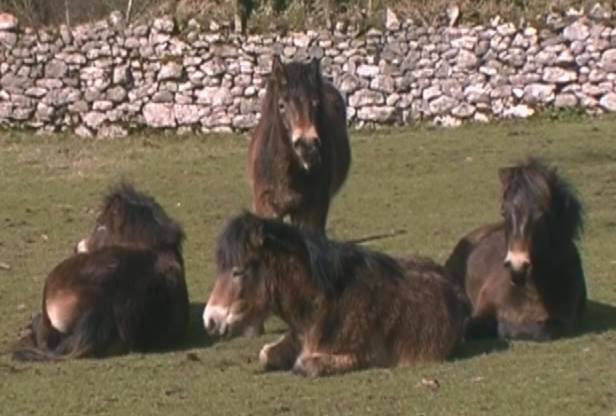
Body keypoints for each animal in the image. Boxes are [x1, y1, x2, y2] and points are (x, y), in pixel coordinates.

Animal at [203, 212, 468, 377]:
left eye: (238, 271)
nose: (210, 320)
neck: (324, 305)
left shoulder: (363, 357)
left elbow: (303, 365)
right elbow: (265, 354)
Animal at [445, 159, 586, 340]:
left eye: (541, 215)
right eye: (503, 212)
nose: (517, 266)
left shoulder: (564, 323)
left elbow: (541, 330)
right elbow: (470, 326)